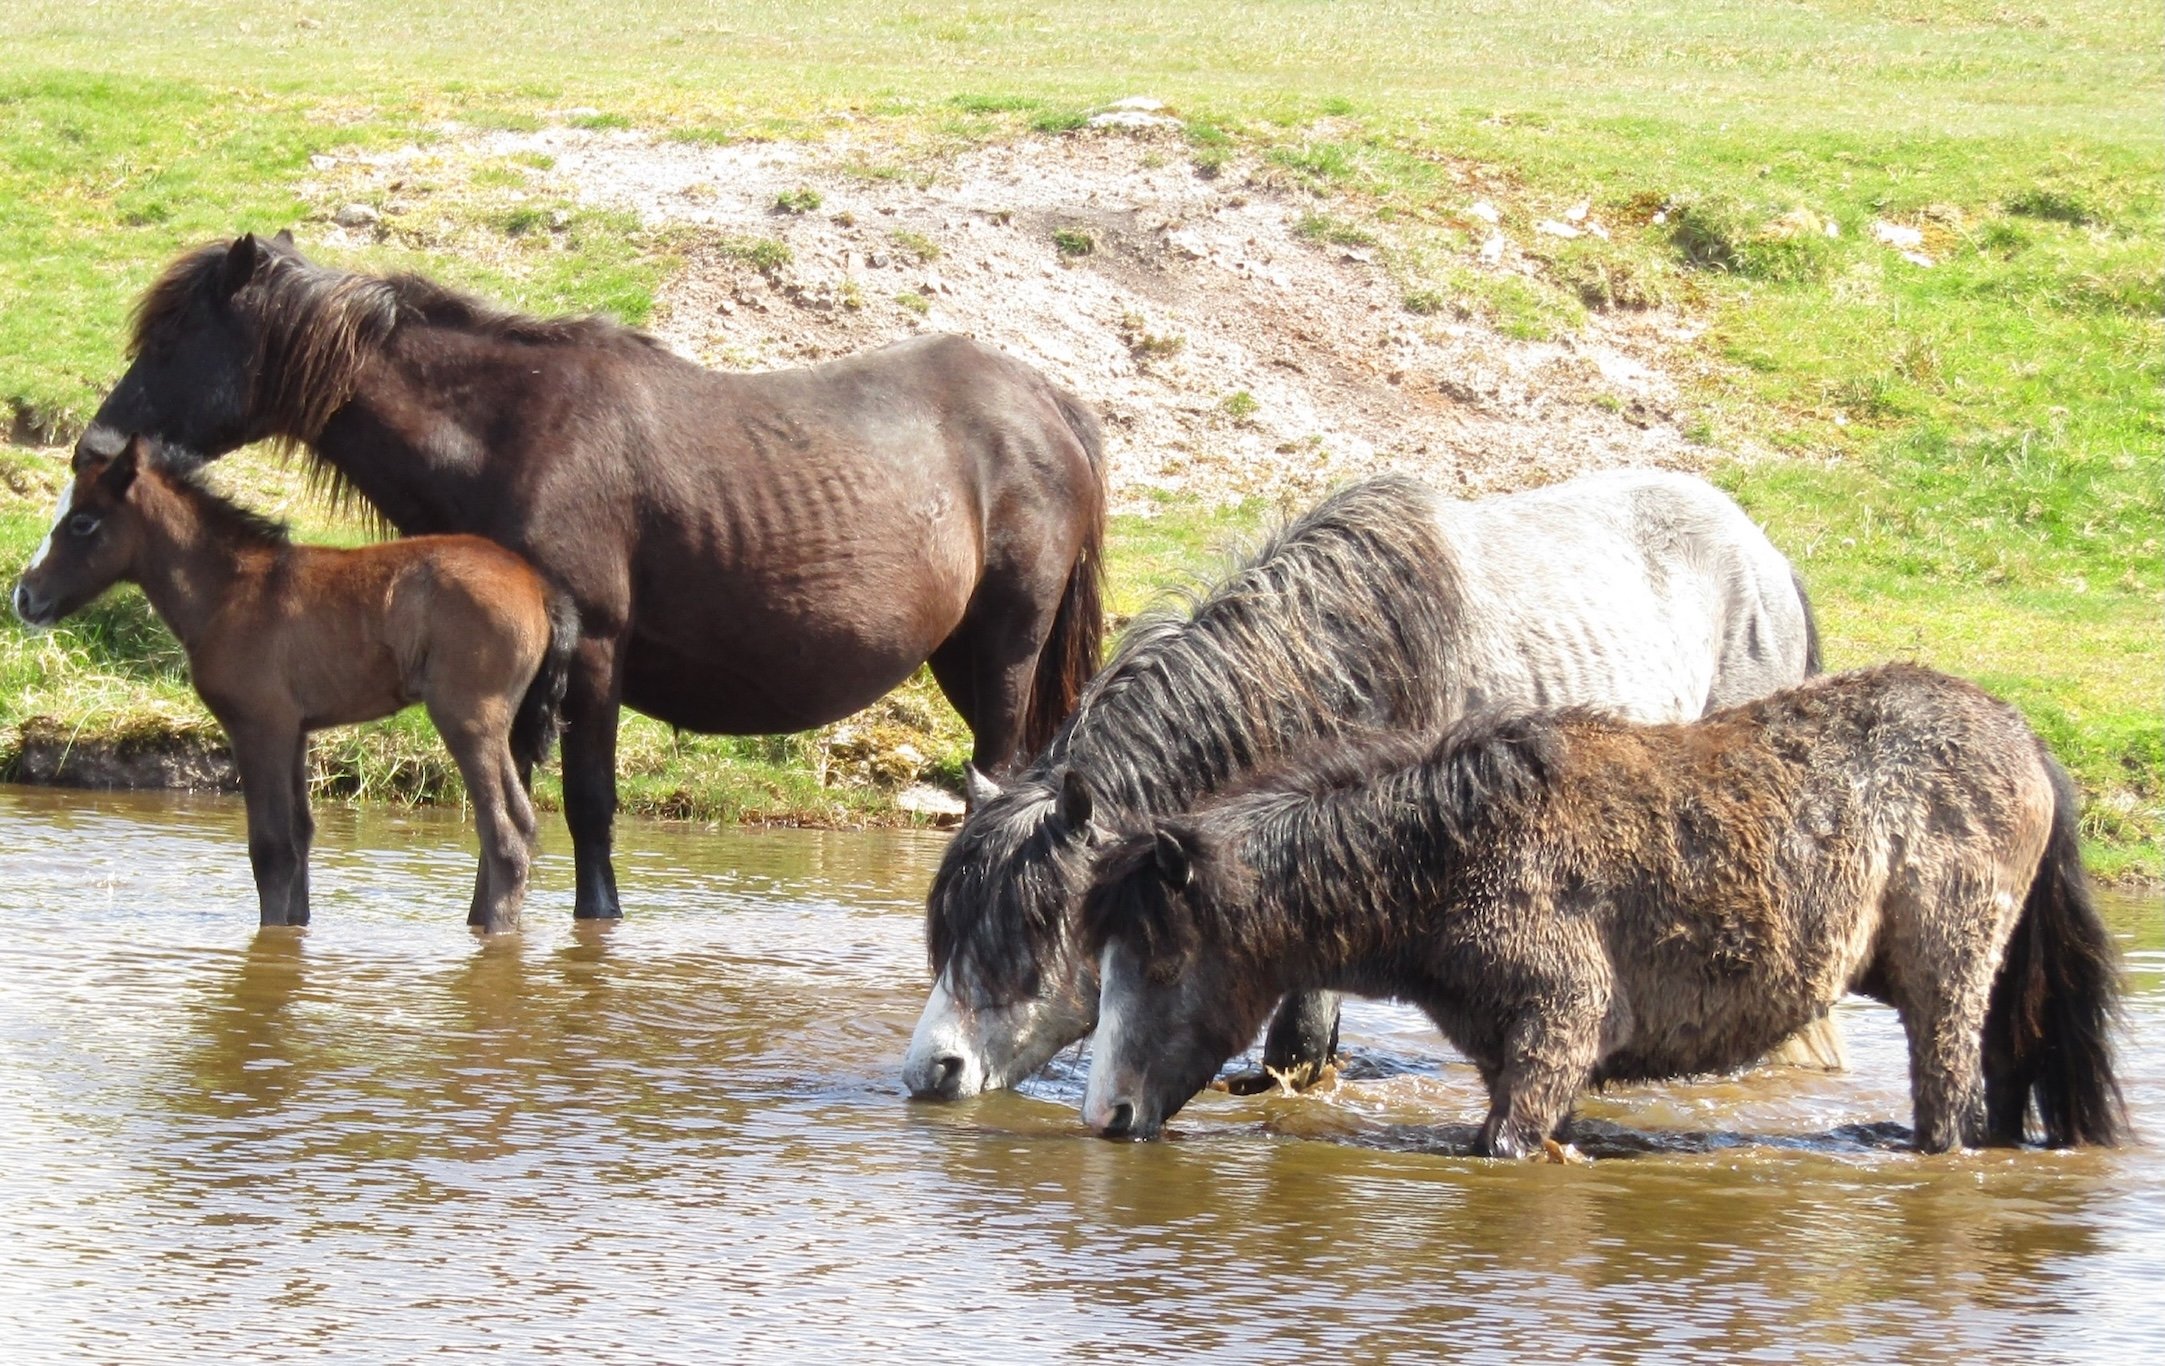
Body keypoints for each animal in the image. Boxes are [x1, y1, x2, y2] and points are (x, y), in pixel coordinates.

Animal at [12, 435, 578, 934]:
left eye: (82, 522)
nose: (24, 596)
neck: (232, 589)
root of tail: (538, 587)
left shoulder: (258, 725)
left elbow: (270, 848)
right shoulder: (297, 730)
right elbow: (301, 839)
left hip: (468, 719)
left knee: (504, 837)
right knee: (522, 825)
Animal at [78, 233, 1106, 921]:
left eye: (171, 340)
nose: (95, 448)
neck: (514, 429)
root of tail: (1044, 400)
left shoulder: (597, 651)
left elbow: (589, 807)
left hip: (1006, 649)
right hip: (960, 657)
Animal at [1078, 664, 2128, 1154]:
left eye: (1160, 964)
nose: (1108, 1113)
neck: (1460, 848)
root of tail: (2022, 737)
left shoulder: (1558, 1028)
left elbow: (1505, 1147)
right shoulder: (1521, 1055)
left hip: (1947, 987)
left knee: (1950, 1112)